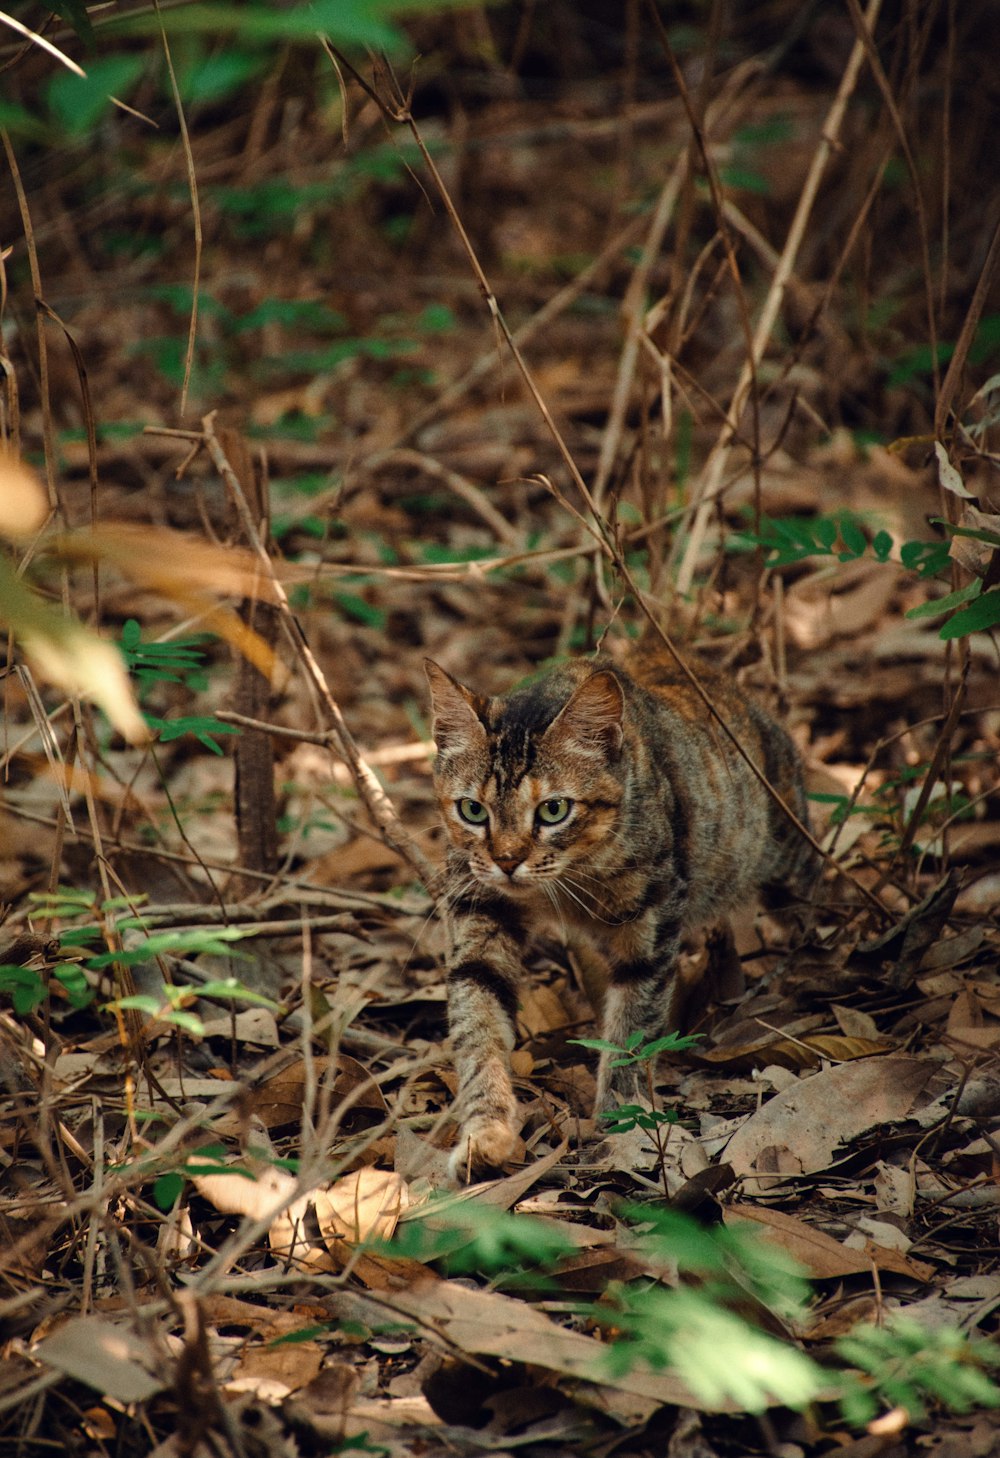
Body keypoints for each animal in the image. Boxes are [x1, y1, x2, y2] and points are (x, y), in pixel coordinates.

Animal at [425, 644, 816, 1178]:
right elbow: (476, 1022)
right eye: (472, 810)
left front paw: (622, 1120)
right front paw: (487, 1130)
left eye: (553, 810)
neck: (564, 884)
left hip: (784, 857)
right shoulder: (479, 904)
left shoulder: (656, 912)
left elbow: (634, 1021)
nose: (506, 860)